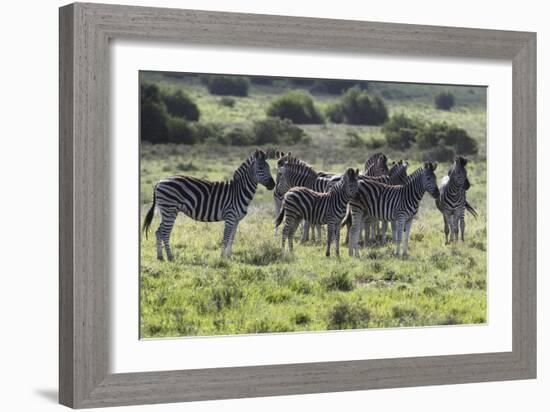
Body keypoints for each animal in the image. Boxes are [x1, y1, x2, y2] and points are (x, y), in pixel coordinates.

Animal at [143, 149, 276, 260]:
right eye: (260, 167)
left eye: (269, 167)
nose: (273, 185)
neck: (238, 191)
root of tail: (159, 182)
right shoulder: (230, 217)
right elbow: (226, 238)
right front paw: (222, 258)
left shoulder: (236, 220)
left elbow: (231, 239)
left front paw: (229, 257)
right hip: (170, 210)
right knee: (165, 233)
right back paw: (170, 257)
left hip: (167, 211)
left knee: (159, 231)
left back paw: (160, 256)